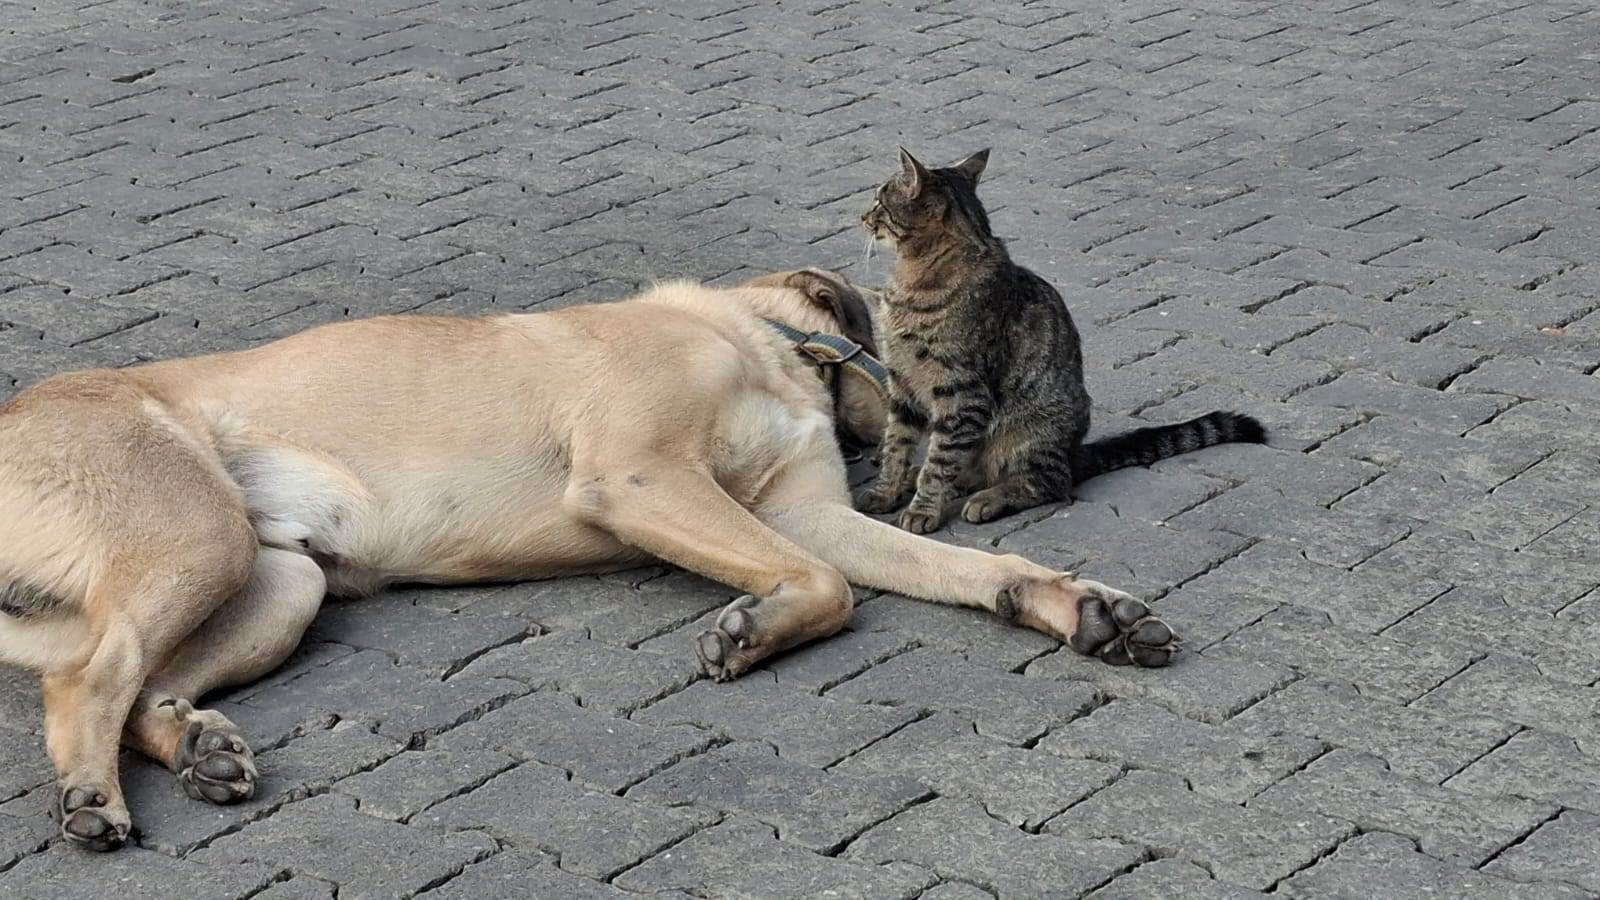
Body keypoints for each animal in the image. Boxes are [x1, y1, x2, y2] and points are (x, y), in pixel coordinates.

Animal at [0, 267, 1177, 845]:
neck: (755, 341)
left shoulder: (801, 513)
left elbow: (941, 575)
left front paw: (1080, 605)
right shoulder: (643, 476)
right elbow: (832, 587)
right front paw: (754, 628)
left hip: (278, 580)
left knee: (145, 693)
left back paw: (198, 749)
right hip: (204, 536)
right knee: (87, 679)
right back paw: (93, 799)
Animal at [857, 143, 1267, 528]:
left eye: (879, 200)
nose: (861, 216)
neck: (913, 278)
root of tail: (1074, 450)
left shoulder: (962, 392)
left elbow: (940, 461)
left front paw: (923, 509)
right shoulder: (902, 383)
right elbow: (896, 444)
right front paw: (886, 491)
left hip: (1029, 432)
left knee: (1049, 481)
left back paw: (987, 499)